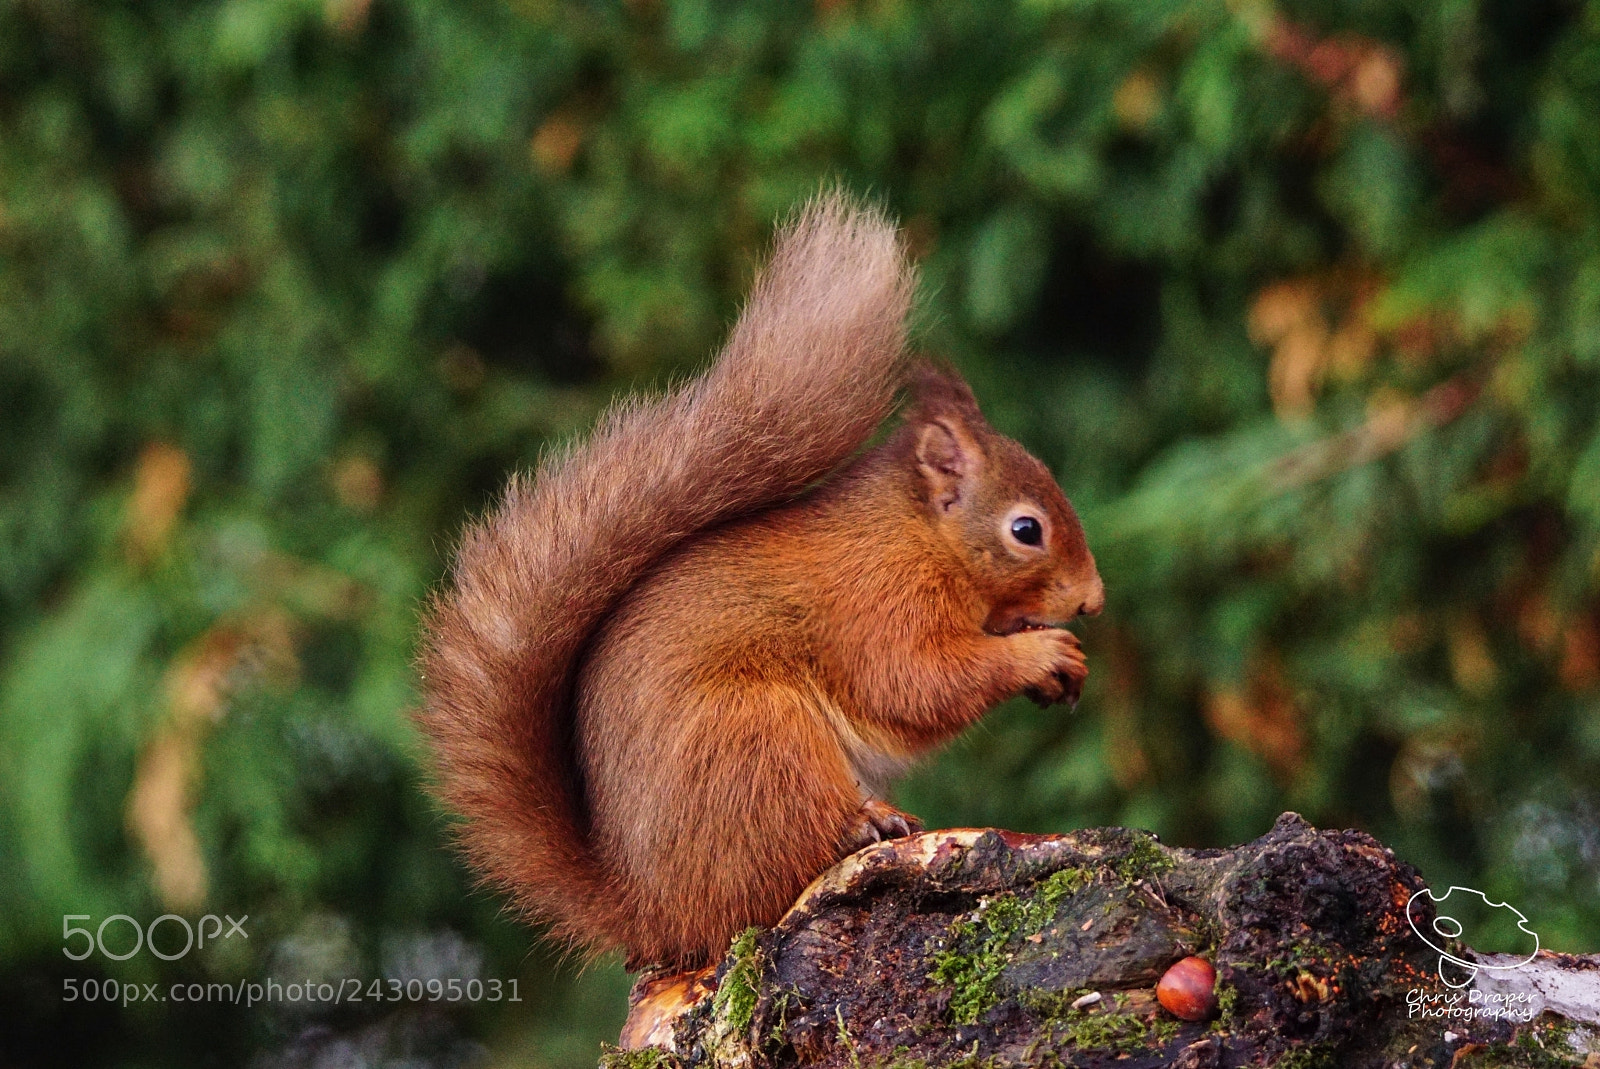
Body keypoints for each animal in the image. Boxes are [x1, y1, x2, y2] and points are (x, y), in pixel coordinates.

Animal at [419, 193, 1104, 971]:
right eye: (1026, 530)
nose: (1092, 600)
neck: (917, 535)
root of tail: (659, 914)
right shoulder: (877, 600)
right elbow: (913, 680)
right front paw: (1039, 653)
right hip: (756, 738)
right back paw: (863, 823)